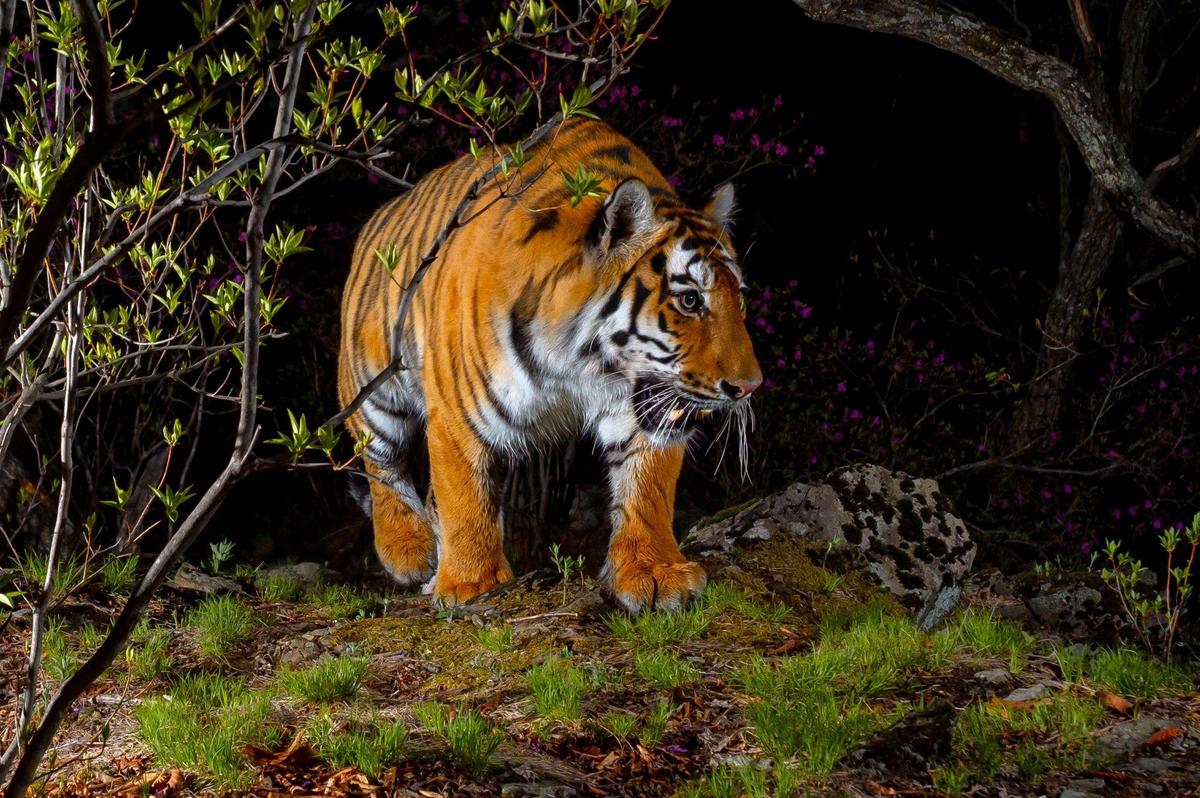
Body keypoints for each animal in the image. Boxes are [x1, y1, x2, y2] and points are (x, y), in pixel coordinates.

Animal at [337, 117, 762, 612]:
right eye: (690, 300)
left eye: (741, 297)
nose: (750, 386)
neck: (584, 365)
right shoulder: (456, 411)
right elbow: (465, 493)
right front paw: (470, 583)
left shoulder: (645, 405)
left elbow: (648, 488)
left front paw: (655, 572)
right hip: (370, 385)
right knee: (379, 458)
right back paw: (411, 551)